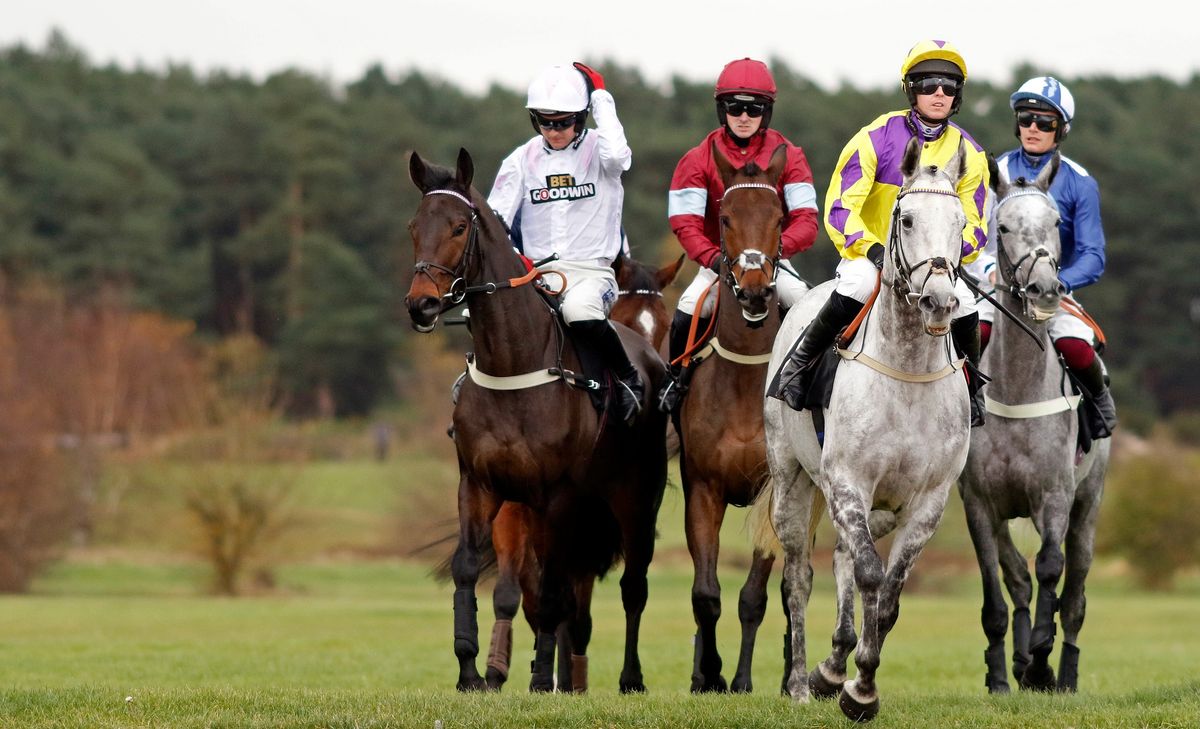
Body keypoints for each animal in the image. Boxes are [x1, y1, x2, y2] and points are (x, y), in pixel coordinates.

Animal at [477, 252, 681, 690]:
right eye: (621, 315)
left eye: (666, 325)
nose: (657, 382)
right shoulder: (511, 507)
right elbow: (512, 593)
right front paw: (495, 671)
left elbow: (567, 605)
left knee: (613, 596)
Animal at [758, 136, 974, 724]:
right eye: (906, 218)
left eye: (961, 222)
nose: (940, 301)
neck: (908, 375)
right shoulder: (848, 482)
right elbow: (873, 578)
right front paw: (858, 691)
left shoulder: (927, 501)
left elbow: (891, 594)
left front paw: (857, 681)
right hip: (794, 480)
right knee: (800, 576)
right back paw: (801, 683)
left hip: (878, 508)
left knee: (843, 559)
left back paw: (832, 666)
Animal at [955, 154, 1113, 695]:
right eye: (1002, 226)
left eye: (1055, 222)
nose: (1046, 290)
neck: (1019, 390)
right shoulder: (980, 503)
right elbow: (996, 587)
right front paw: (1003, 672)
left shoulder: (1056, 495)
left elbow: (1050, 568)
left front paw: (1043, 661)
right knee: (1017, 581)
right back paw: (1020, 663)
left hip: (1089, 504)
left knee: (1077, 594)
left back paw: (1063, 673)